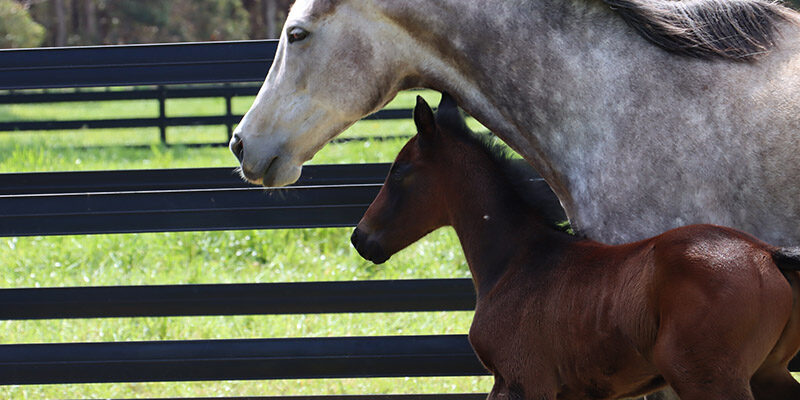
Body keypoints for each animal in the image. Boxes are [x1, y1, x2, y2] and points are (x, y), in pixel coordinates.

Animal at [351, 94, 800, 400]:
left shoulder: (523, 381)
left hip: (711, 380)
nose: (360, 238)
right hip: (766, 374)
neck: (518, 261)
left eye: (399, 171)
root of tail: (766, 254)